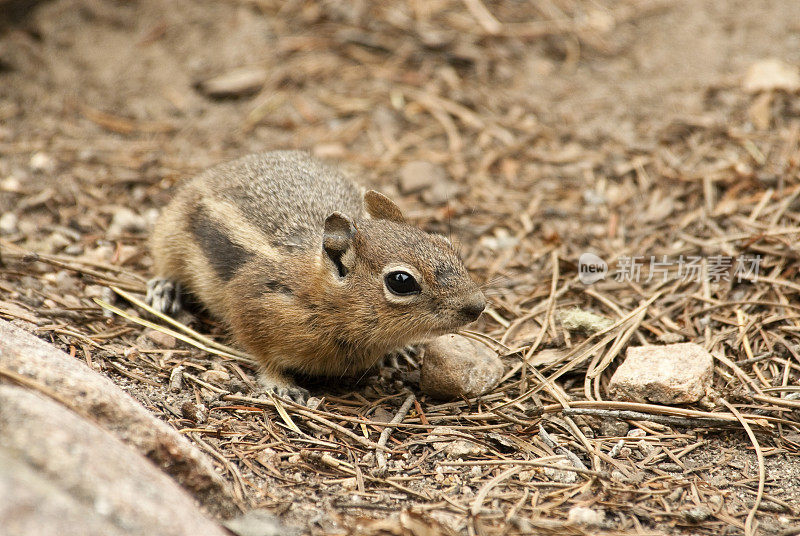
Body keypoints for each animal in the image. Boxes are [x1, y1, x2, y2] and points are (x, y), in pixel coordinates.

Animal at [148, 149, 488, 400]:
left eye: (444, 243)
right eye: (401, 281)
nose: (478, 306)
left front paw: (400, 349)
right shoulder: (253, 303)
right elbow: (260, 354)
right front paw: (281, 384)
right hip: (169, 236)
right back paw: (164, 288)